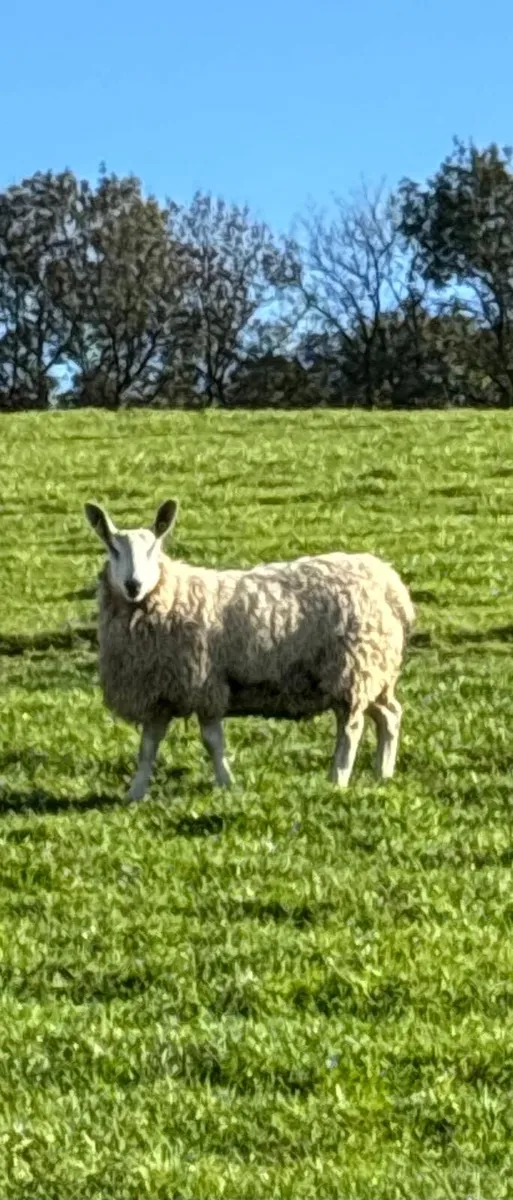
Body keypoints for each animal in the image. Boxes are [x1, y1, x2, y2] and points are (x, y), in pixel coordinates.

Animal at [84, 498, 415, 800]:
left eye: (153, 549)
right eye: (113, 549)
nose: (133, 585)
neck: (171, 596)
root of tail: (388, 581)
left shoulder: (205, 684)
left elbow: (212, 741)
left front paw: (226, 783)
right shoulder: (158, 691)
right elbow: (148, 746)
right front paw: (135, 793)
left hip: (352, 668)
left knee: (351, 727)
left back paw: (338, 778)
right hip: (376, 671)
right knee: (390, 714)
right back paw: (383, 772)